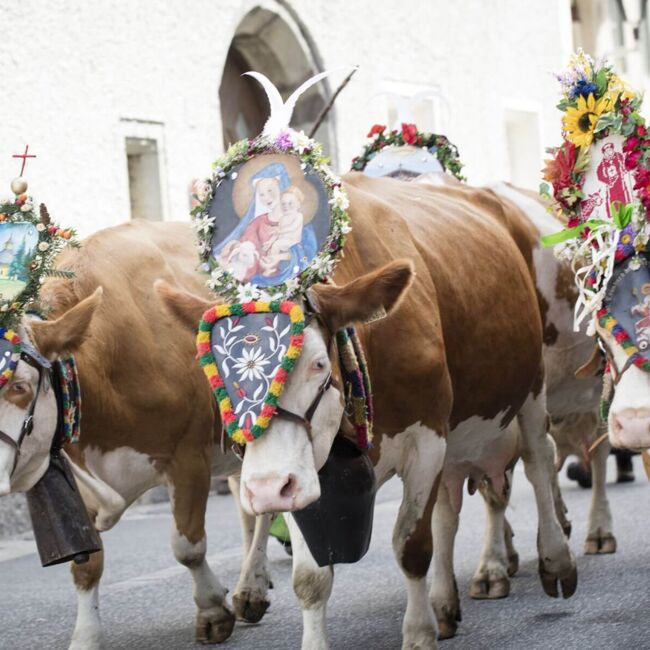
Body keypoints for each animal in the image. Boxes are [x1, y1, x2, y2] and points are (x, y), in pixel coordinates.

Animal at [0, 220, 270, 644]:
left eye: (19, 386)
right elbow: (86, 563)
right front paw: (86, 636)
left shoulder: (188, 454)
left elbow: (187, 546)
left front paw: (212, 610)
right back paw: (252, 588)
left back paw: (251, 588)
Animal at [159, 172, 576, 648]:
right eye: (217, 375)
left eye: (317, 363)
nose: (263, 489)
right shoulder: (306, 472)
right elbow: (311, 578)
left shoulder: (426, 439)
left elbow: (412, 546)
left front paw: (417, 634)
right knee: (450, 509)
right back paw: (445, 602)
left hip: (532, 382)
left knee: (538, 458)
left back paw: (556, 560)